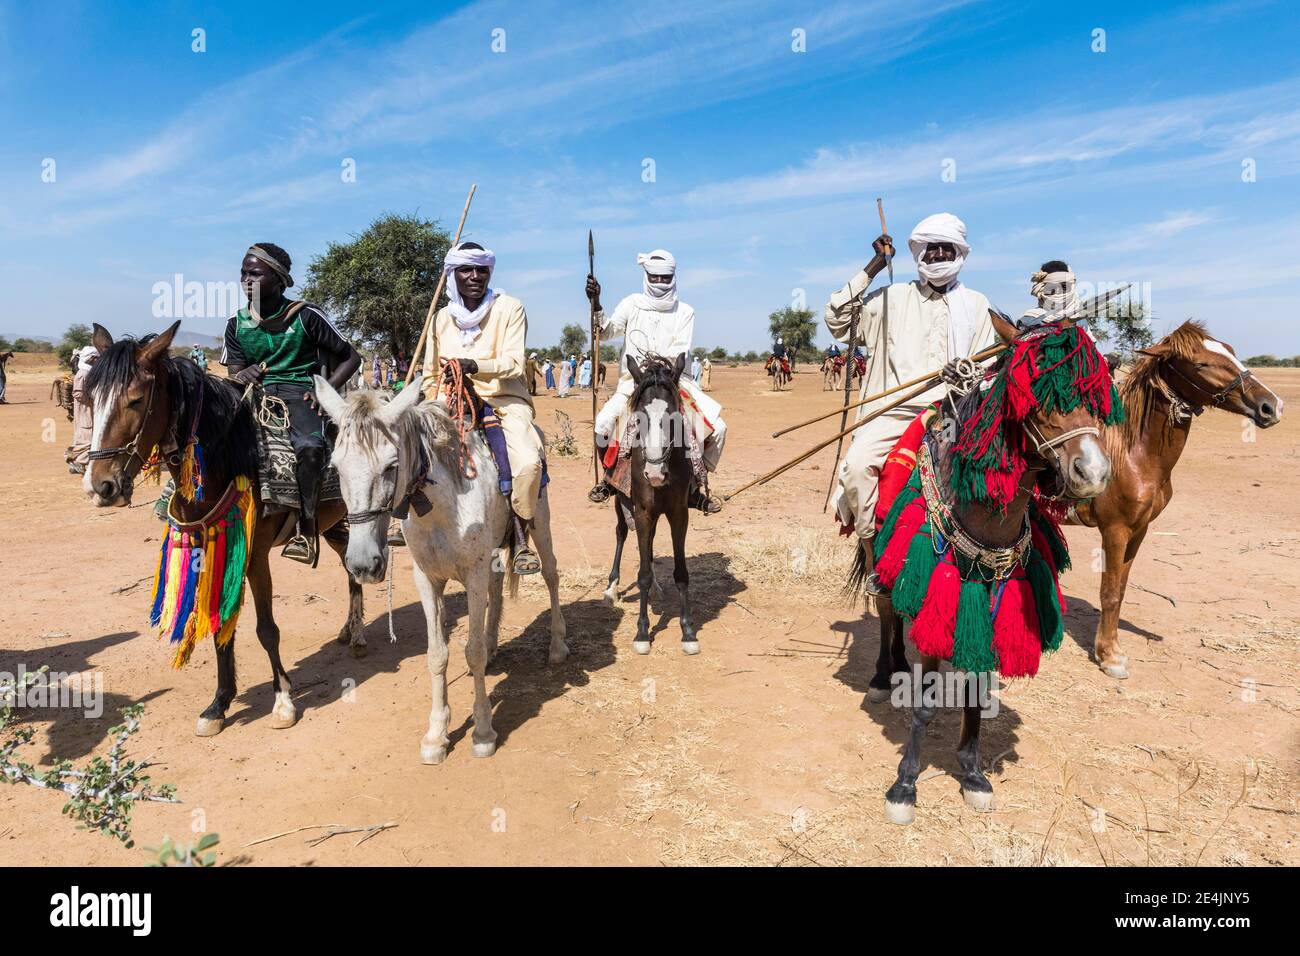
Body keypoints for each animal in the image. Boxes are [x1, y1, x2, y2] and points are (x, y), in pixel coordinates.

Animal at [83, 325, 364, 738]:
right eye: (90, 400)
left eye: (135, 401)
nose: (100, 487)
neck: (232, 457)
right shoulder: (212, 550)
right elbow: (219, 627)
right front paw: (219, 705)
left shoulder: (255, 556)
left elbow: (266, 629)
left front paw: (283, 701)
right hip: (332, 525)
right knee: (349, 567)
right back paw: (350, 631)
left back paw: (360, 634)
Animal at [312, 374, 566, 764]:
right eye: (336, 468)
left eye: (391, 466)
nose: (362, 563)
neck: (444, 505)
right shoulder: (428, 579)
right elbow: (437, 654)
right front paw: (436, 735)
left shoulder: (473, 574)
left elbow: (471, 652)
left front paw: (482, 732)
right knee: (497, 589)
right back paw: (495, 645)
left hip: (540, 519)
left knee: (551, 574)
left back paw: (557, 646)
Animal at [1071, 323, 1284, 681]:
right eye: (1201, 365)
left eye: (1232, 352)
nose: (1271, 406)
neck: (1132, 454)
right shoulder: (1115, 530)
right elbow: (1109, 593)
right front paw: (1110, 658)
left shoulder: (1138, 530)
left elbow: (1121, 589)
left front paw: (1109, 648)